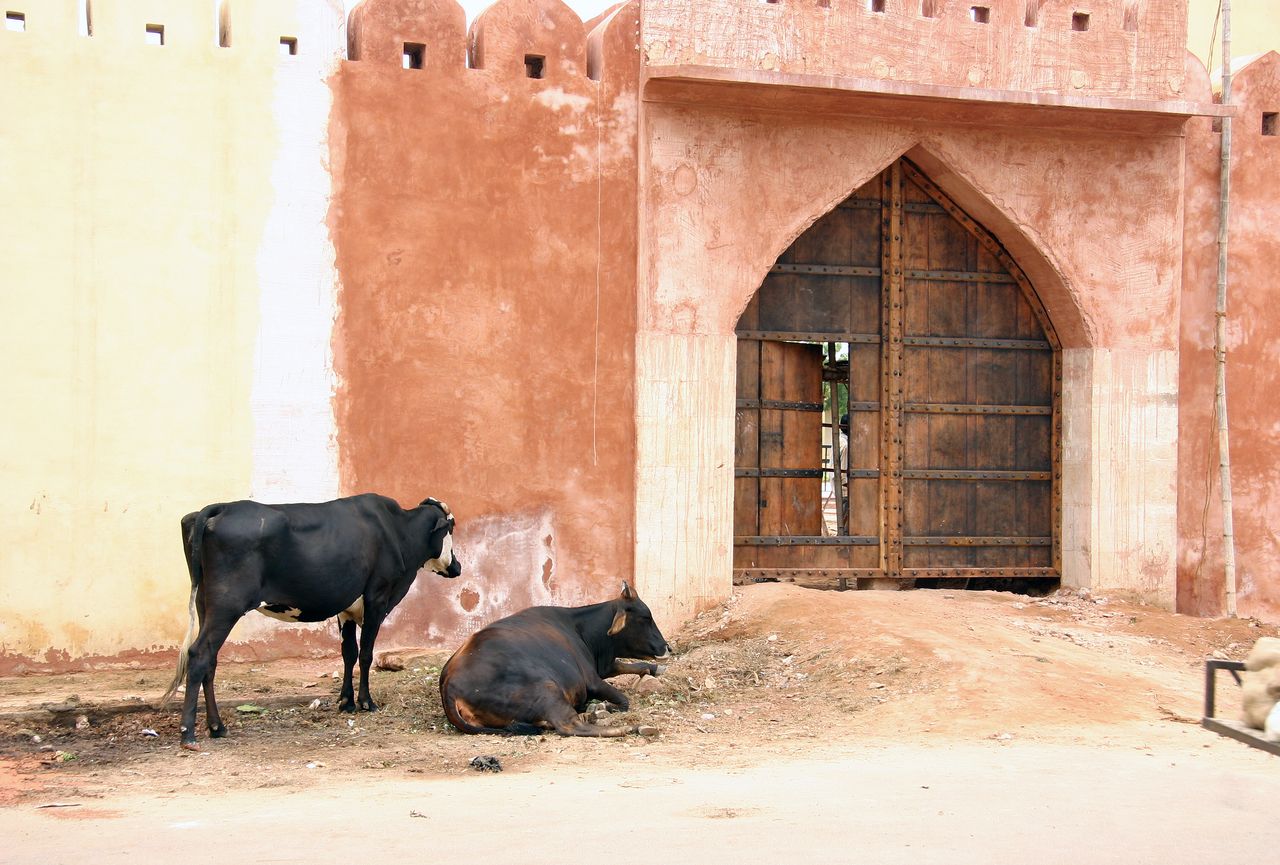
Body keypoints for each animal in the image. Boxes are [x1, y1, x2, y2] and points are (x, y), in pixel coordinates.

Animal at [160, 493, 460, 752]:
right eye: (451, 528)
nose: (457, 567)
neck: (398, 531)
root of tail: (220, 507)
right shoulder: (377, 599)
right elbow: (365, 654)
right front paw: (365, 702)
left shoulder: (346, 609)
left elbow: (348, 653)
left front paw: (346, 701)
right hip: (227, 606)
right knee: (199, 655)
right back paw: (189, 733)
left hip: (206, 606)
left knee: (210, 660)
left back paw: (217, 727)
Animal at [440, 580, 670, 737]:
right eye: (645, 618)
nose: (666, 647)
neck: (580, 629)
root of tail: (449, 685)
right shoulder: (591, 680)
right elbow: (623, 701)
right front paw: (603, 708)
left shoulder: (602, 666)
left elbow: (627, 665)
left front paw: (654, 669)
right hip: (548, 690)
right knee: (569, 725)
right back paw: (629, 727)